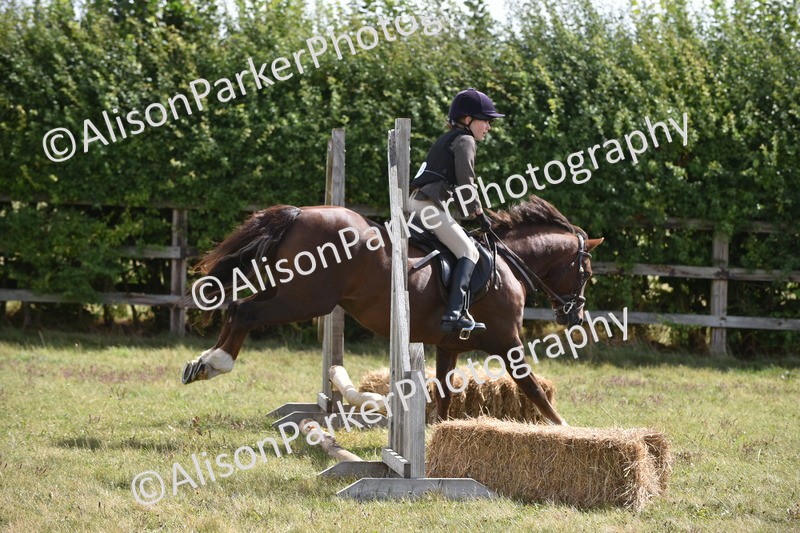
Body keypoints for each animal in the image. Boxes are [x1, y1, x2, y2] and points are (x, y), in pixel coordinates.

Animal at [181, 194, 602, 425]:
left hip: (283, 290)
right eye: (586, 273)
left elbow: (446, 393)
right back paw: (217, 362)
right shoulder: (507, 341)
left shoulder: (449, 346)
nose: (575, 316)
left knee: (236, 307)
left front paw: (438, 433)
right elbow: (533, 388)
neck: (509, 265)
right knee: (244, 312)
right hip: (305, 300)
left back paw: (201, 364)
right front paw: (563, 427)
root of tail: (300, 214)